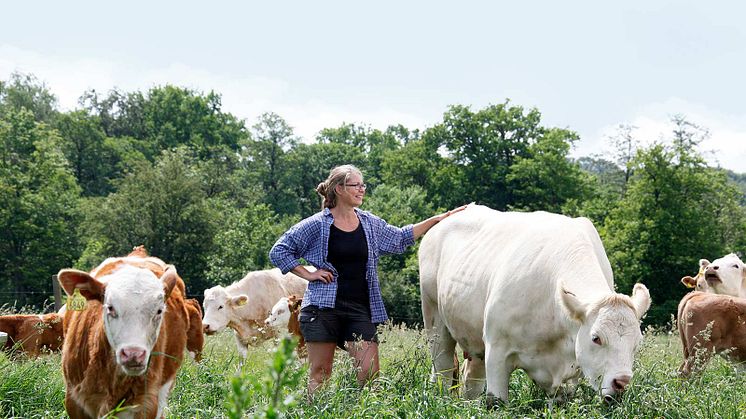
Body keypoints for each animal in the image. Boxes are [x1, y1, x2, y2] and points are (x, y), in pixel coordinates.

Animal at [418, 207, 652, 406]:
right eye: (596, 338)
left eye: (637, 343)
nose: (621, 382)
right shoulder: (497, 350)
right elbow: (495, 402)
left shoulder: (569, 376)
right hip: (434, 319)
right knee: (443, 370)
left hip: (475, 344)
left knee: (471, 381)